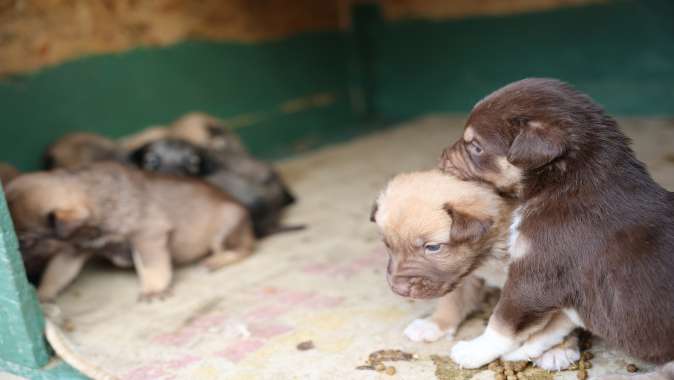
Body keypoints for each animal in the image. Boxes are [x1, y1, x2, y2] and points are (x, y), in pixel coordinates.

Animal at [370, 170, 580, 372]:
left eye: (433, 247)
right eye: (387, 244)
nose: (398, 289)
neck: (488, 253)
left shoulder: (542, 283)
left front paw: (558, 350)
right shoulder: (461, 273)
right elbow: (453, 300)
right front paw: (436, 323)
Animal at [438, 77, 668, 378]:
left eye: (475, 147)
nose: (442, 156)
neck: (564, 184)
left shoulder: (534, 275)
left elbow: (502, 323)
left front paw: (473, 352)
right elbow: (552, 327)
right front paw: (523, 353)